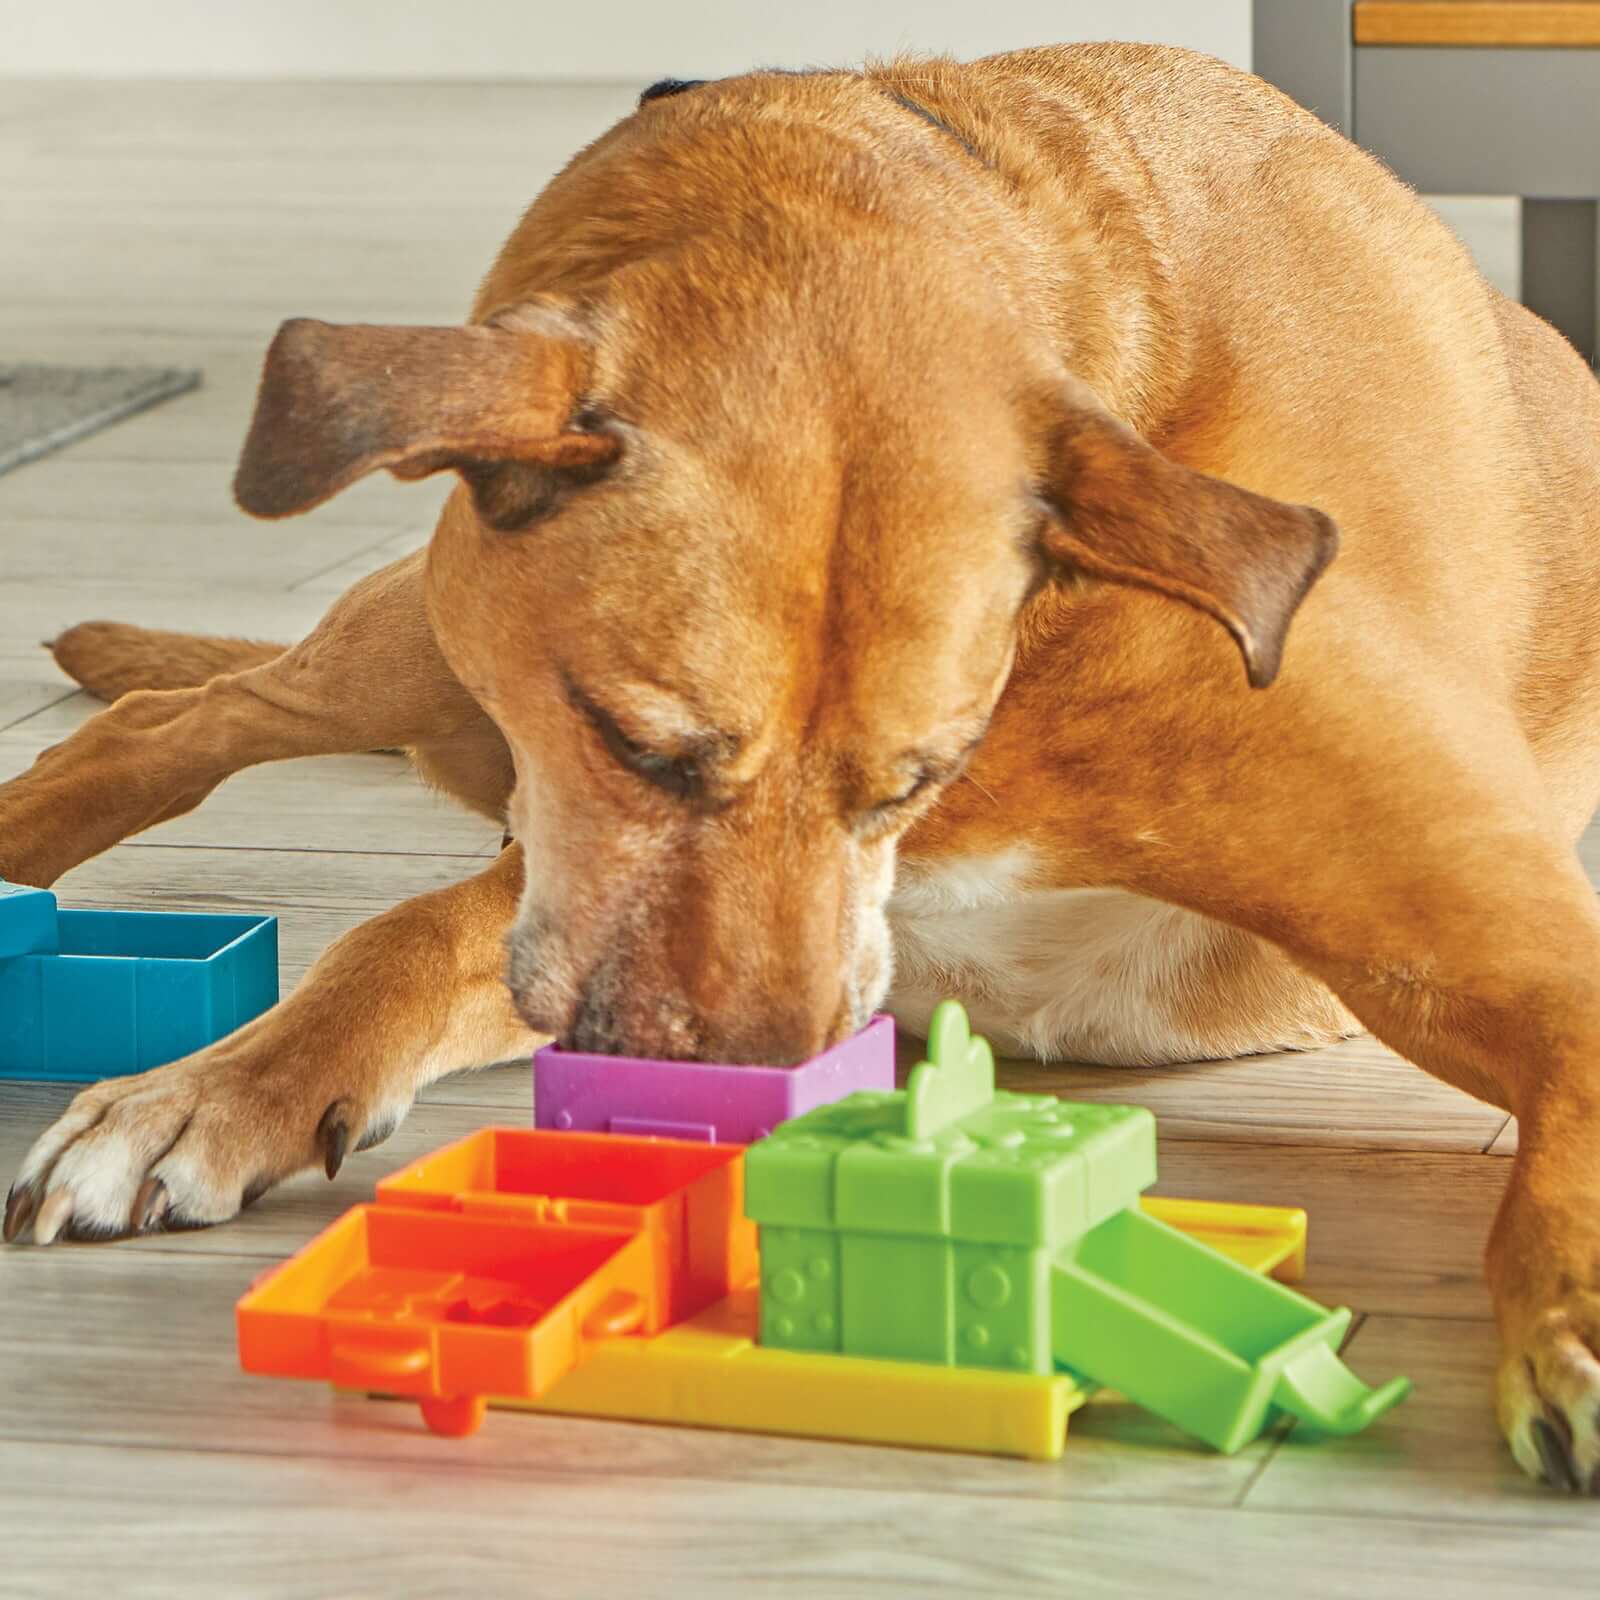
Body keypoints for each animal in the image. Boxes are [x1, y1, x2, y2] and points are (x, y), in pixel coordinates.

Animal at [3, 46, 1600, 1484]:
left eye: (912, 781)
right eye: (633, 743)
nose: (756, 1110)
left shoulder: (1506, 934)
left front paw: (1572, 1319)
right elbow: (416, 929)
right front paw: (215, 1087)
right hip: (421, 645)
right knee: (188, 720)